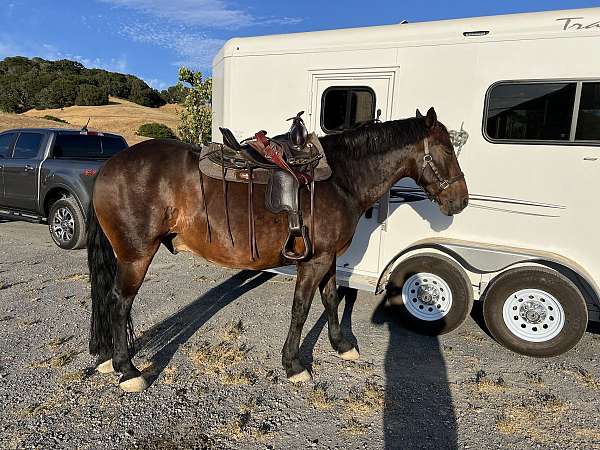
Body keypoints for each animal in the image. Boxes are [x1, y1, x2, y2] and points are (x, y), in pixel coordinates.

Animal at [86, 106, 468, 390]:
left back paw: (109, 361)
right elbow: (301, 308)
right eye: (447, 150)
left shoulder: (328, 258)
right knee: (119, 302)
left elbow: (331, 299)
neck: (342, 179)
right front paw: (294, 364)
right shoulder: (313, 261)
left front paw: (342, 346)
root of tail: (108, 166)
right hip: (136, 256)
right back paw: (127, 370)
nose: (460, 201)